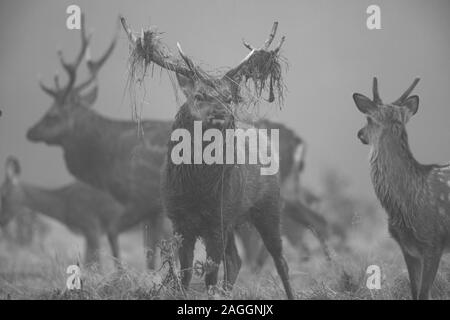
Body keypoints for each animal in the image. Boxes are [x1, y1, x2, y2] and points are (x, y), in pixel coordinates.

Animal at [25, 16, 172, 268]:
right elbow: (152, 250)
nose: (30, 131)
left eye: (52, 115)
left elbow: (116, 234)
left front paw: (121, 271)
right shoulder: (153, 208)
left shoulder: (141, 197)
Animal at [121, 16, 294, 298]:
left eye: (229, 97)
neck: (197, 189)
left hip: (269, 206)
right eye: (198, 95)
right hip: (234, 219)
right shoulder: (179, 219)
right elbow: (185, 273)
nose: (221, 114)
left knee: (280, 260)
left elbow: (211, 273)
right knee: (236, 260)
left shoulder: (217, 219)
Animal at [352, 77, 450, 300]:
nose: (360, 134)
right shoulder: (408, 248)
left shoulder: (434, 241)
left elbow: (423, 294)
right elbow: (414, 292)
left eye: (368, 119)